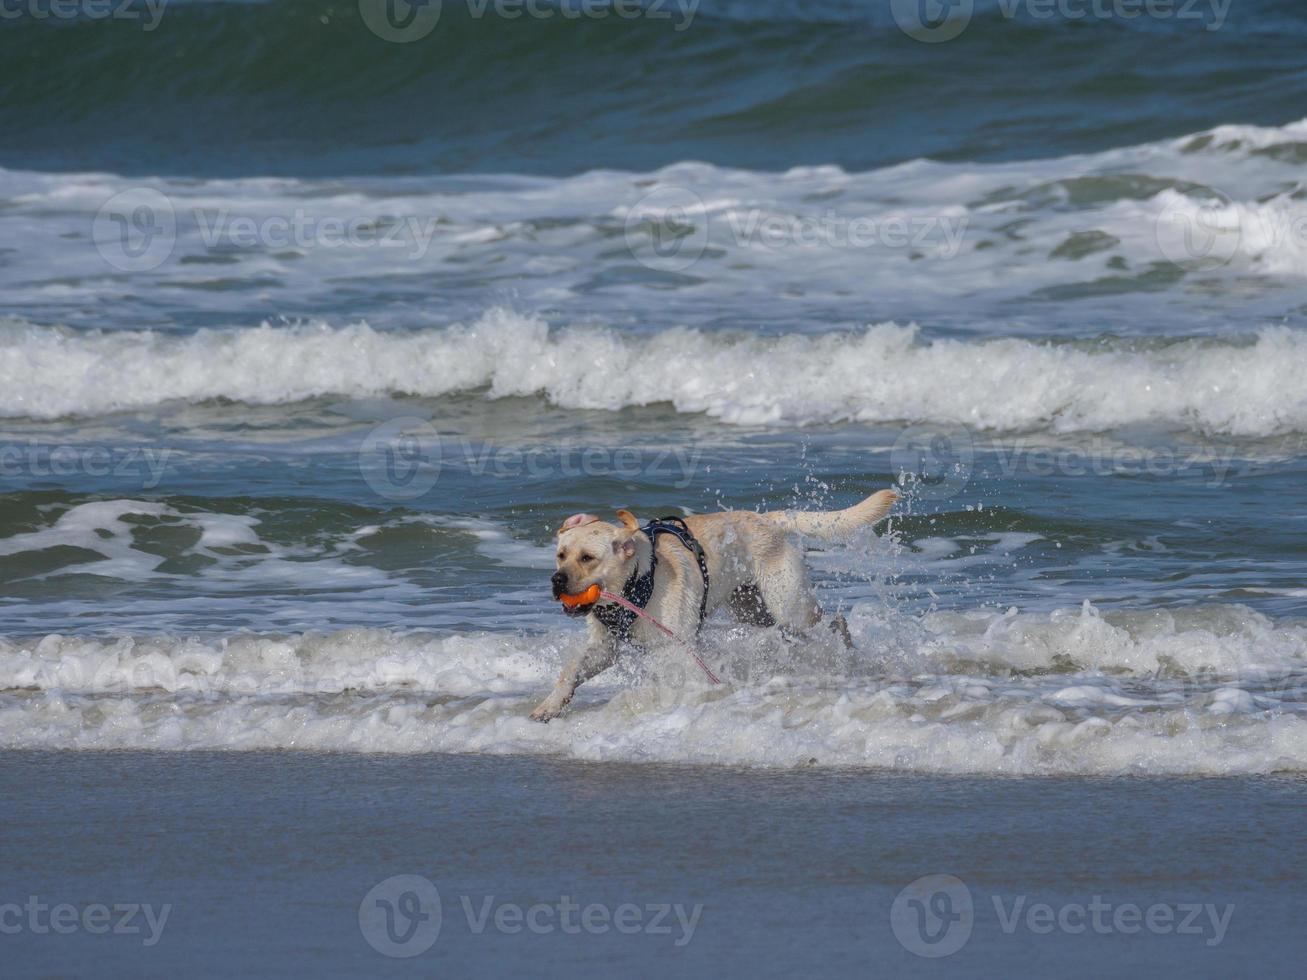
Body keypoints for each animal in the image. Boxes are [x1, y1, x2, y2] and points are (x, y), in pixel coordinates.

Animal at [530, 488, 899, 721]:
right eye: (561, 554)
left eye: (587, 558)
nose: (557, 580)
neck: (637, 584)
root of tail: (765, 518)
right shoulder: (603, 646)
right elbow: (571, 670)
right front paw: (550, 706)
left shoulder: (677, 646)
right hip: (753, 609)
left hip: (789, 605)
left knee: (833, 621)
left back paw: (846, 649)